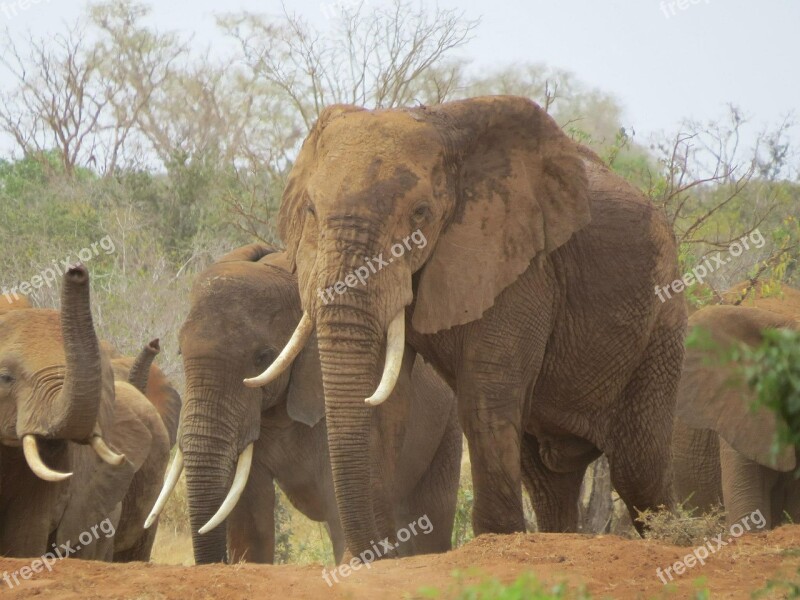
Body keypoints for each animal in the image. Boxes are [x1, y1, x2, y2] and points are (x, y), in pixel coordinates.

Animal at [248, 96, 688, 556]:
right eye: (311, 211)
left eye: (420, 214)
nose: (368, 552)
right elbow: (386, 398)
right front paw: (379, 555)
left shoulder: (520, 264)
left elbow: (486, 388)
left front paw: (497, 541)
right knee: (548, 478)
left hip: (661, 325)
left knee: (638, 469)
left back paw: (678, 539)